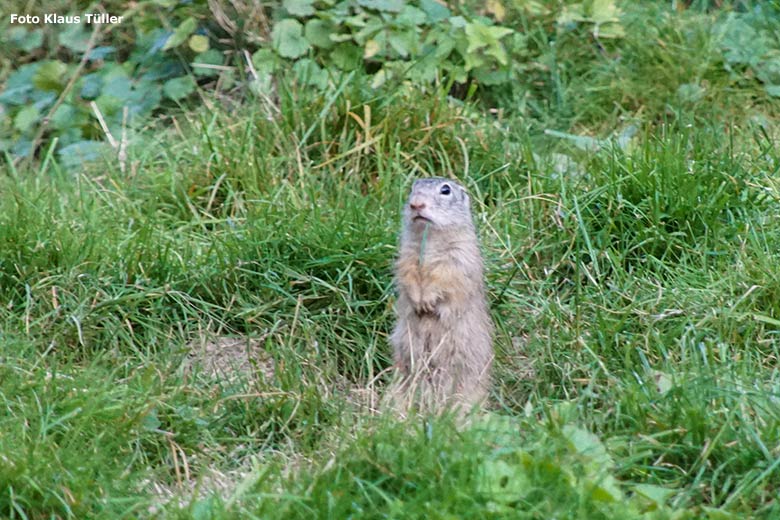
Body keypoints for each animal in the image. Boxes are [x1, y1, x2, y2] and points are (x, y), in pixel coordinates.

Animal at [390, 177, 494, 412]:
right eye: (412, 188)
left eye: (445, 190)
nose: (416, 204)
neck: (430, 239)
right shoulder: (407, 255)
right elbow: (408, 274)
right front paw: (417, 301)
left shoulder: (459, 257)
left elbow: (445, 278)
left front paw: (427, 300)